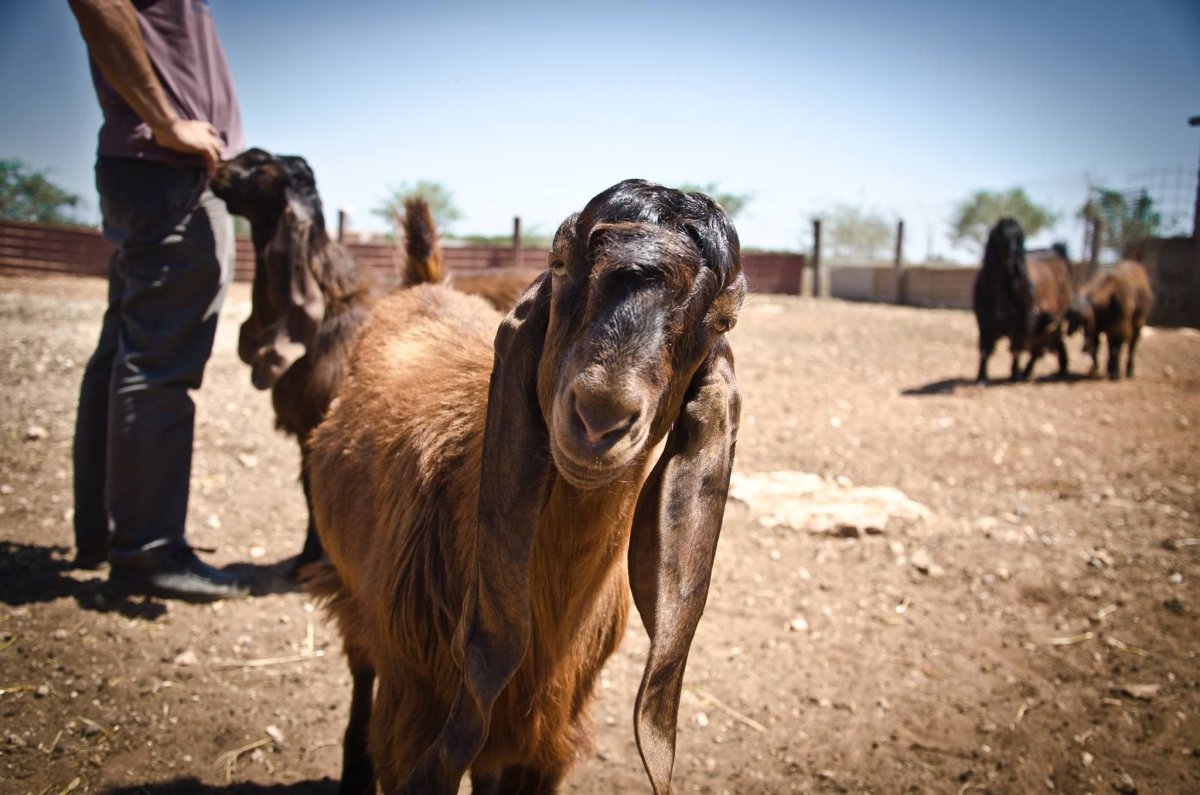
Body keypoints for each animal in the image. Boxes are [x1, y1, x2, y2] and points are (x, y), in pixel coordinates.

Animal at [306, 178, 746, 794]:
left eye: (723, 319)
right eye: (559, 263)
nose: (600, 417)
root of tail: (422, 285)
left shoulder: (543, 744)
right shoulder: (414, 716)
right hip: (354, 599)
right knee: (359, 665)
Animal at [973, 218, 1072, 382]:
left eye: (1019, 237)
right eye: (1000, 236)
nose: (1012, 257)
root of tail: (1057, 252)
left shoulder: (1022, 322)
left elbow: (1017, 349)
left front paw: (1014, 374)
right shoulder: (985, 322)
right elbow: (985, 349)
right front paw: (981, 377)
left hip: (1054, 316)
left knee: (1044, 343)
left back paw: (1028, 371)